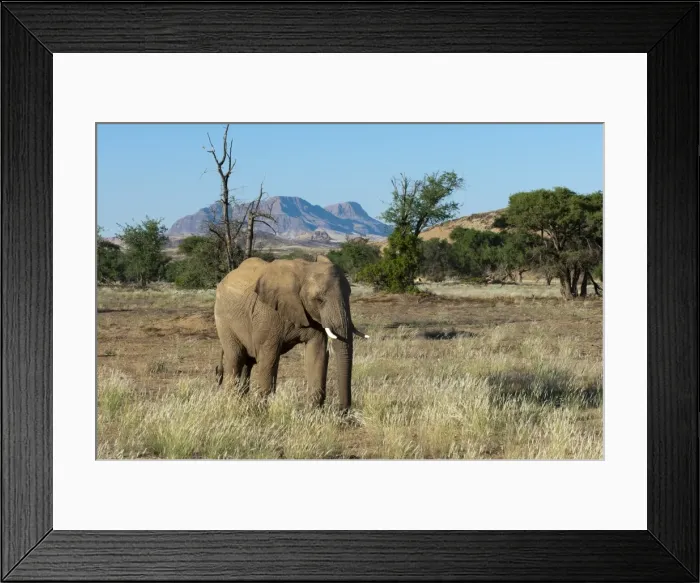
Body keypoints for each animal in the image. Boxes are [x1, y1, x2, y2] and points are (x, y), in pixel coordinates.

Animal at [213, 255, 369, 412]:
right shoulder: (268, 313)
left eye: (349, 295)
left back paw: (241, 401)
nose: (343, 411)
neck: (305, 270)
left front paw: (313, 412)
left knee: (247, 362)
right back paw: (232, 403)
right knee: (235, 357)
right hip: (223, 319)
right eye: (319, 300)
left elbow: (317, 353)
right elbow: (269, 357)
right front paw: (262, 411)